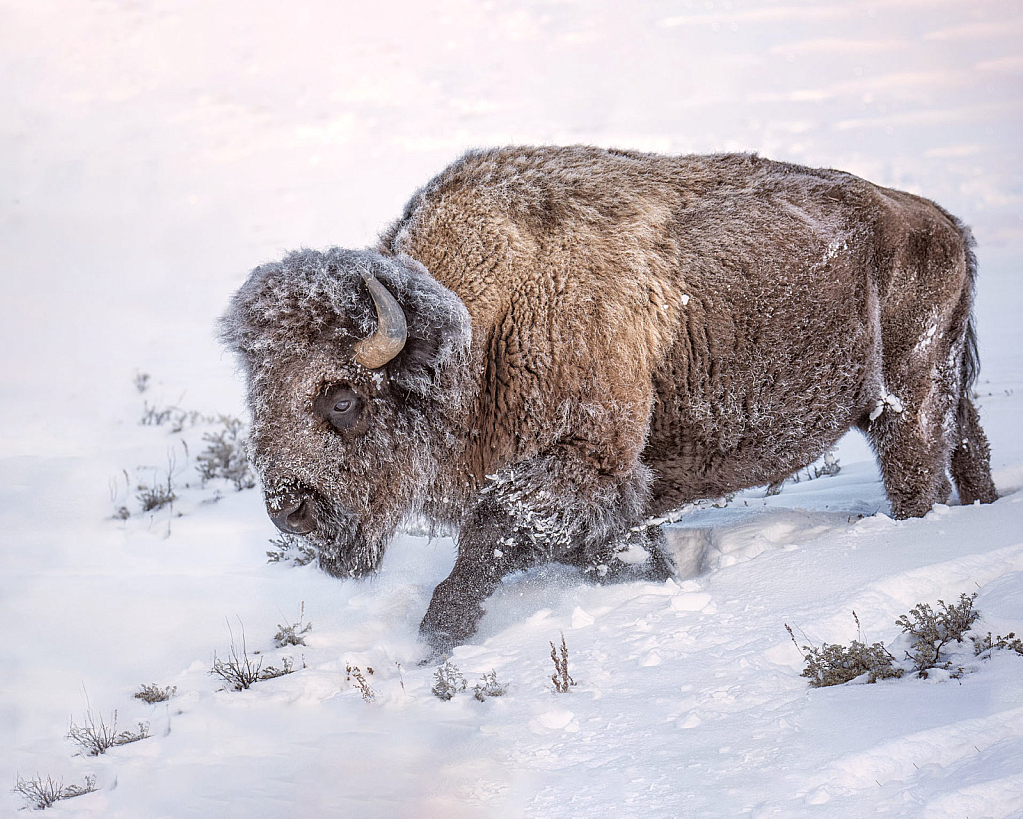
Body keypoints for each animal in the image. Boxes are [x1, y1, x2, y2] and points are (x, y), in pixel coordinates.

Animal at [219, 144, 994, 650]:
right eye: (259, 390)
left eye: (342, 398)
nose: (291, 508)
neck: (481, 324)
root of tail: (942, 222)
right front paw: (649, 573)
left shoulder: (584, 464)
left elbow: (487, 539)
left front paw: (436, 637)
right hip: (943, 393)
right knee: (970, 451)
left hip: (908, 400)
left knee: (917, 479)